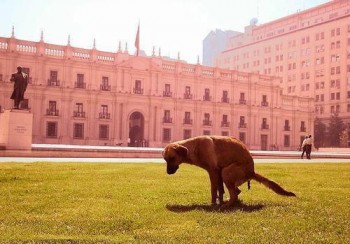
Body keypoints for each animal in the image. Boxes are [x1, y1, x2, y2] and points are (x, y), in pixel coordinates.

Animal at [163, 135, 296, 206]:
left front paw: (213, 204)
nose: (168, 173)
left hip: (226, 172)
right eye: (165, 159)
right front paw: (219, 201)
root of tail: (252, 172)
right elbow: (220, 190)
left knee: (234, 195)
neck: (194, 147)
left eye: (172, 158)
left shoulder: (213, 171)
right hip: (225, 173)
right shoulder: (217, 173)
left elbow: (213, 190)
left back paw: (227, 205)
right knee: (236, 192)